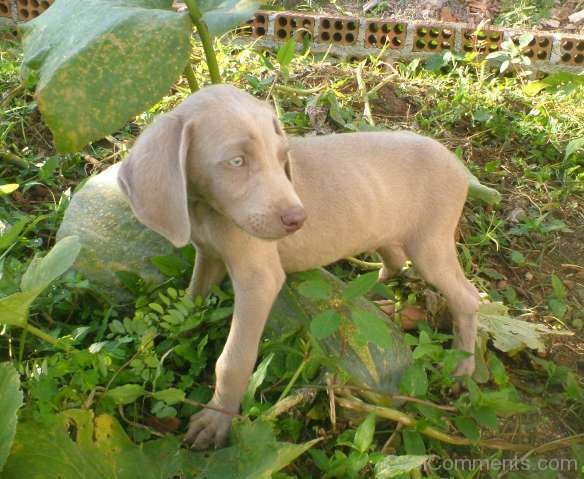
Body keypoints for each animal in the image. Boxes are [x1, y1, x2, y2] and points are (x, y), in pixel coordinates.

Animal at [118, 83, 480, 450]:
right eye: (236, 162)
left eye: (282, 159)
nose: (298, 219)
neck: (208, 209)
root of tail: (457, 163)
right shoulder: (208, 255)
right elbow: (192, 300)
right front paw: (175, 332)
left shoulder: (259, 281)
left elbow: (234, 359)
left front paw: (216, 419)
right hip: (389, 230)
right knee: (394, 260)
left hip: (430, 242)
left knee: (466, 298)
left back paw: (462, 369)